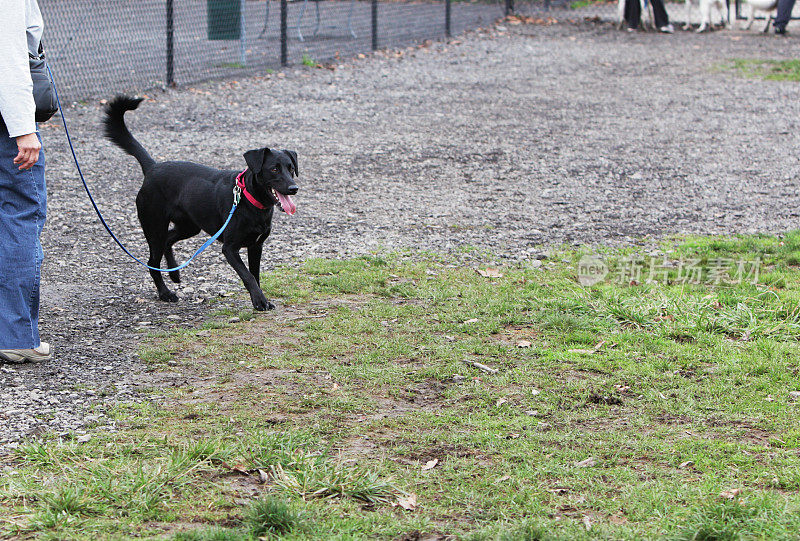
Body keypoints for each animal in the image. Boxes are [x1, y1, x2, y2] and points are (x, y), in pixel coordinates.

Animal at [103, 95, 296, 310]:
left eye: (290, 168)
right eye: (274, 169)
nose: (294, 188)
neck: (250, 200)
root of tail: (153, 167)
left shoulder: (256, 246)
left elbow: (255, 274)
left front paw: (261, 299)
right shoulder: (230, 248)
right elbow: (248, 276)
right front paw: (259, 301)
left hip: (189, 226)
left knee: (168, 240)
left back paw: (174, 273)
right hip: (154, 227)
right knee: (153, 261)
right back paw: (165, 293)